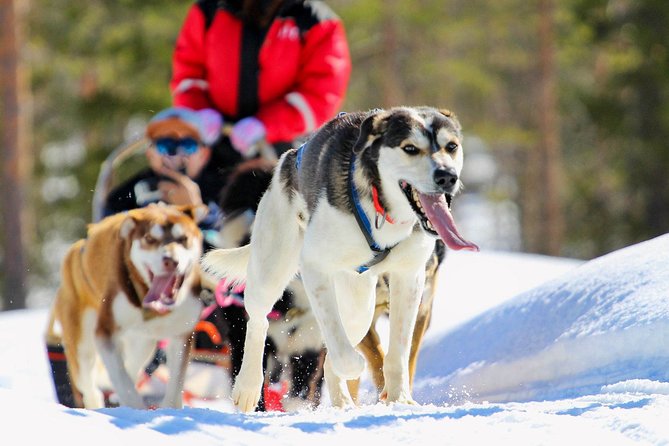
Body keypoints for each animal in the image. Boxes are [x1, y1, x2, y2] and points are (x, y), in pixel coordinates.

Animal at [201, 105, 478, 412]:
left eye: (451, 146)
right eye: (410, 148)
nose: (447, 176)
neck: (382, 211)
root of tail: (287, 158)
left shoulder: (410, 280)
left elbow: (397, 354)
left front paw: (400, 399)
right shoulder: (315, 268)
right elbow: (340, 348)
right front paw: (354, 370)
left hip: (360, 306)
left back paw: (343, 400)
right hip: (270, 272)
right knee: (258, 322)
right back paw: (248, 386)